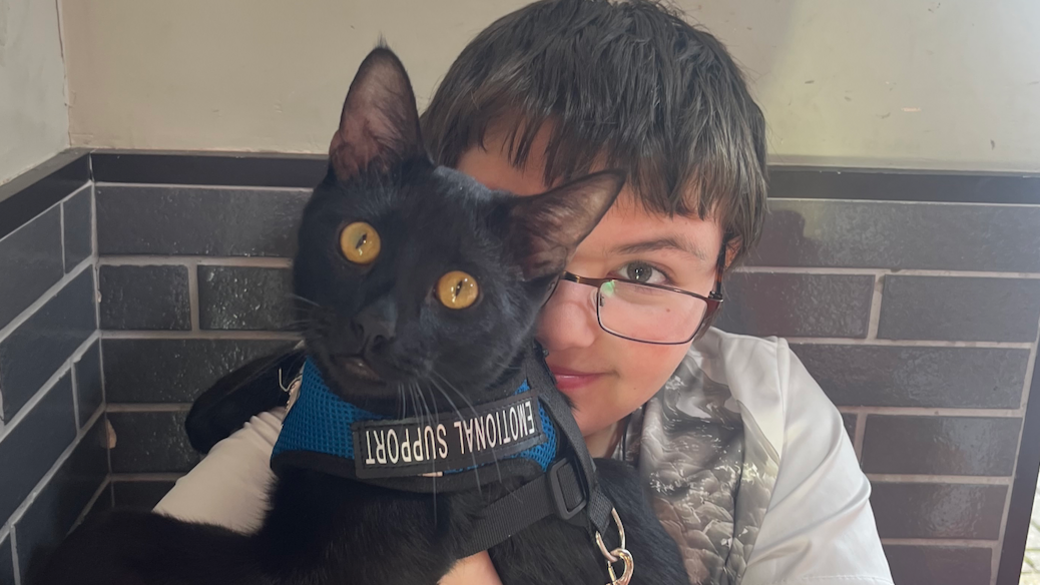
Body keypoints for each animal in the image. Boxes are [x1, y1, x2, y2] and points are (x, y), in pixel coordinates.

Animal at [32, 47, 686, 582]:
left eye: (459, 289)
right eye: (359, 241)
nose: (376, 325)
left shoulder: (309, 573)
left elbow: (134, 537)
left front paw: (68, 549)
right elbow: (264, 379)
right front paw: (218, 408)